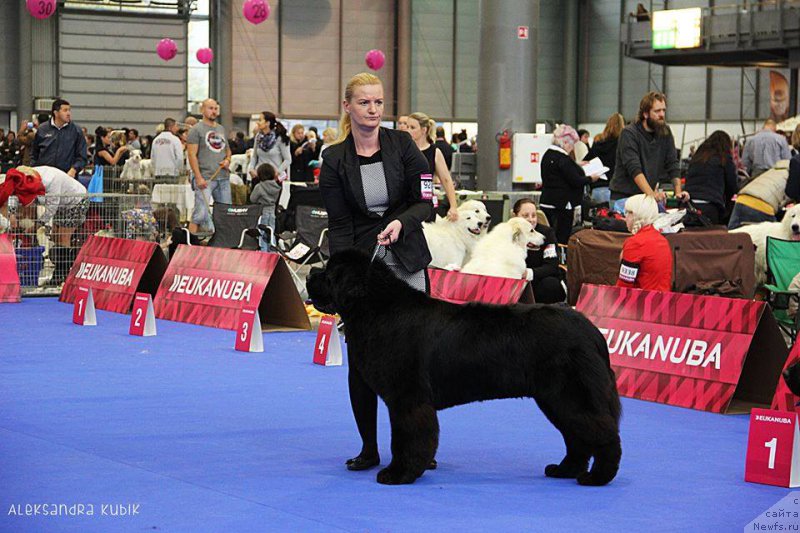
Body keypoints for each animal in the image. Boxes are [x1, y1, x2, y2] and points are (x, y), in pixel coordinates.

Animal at [310, 249, 620, 486]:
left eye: (329, 273)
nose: (312, 272)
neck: (377, 308)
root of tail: (591, 329)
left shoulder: (407, 399)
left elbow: (406, 437)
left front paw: (399, 473)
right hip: (555, 400)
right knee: (577, 438)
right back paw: (564, 470)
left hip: (570, 396)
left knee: (603, 434)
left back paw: (598, 477)